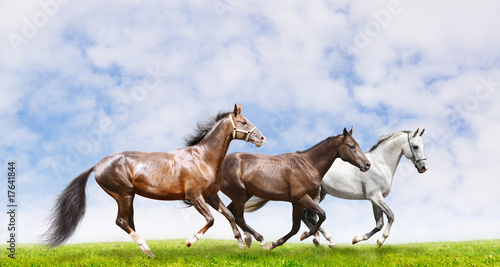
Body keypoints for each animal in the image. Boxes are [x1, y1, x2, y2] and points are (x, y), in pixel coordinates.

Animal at [44, 104, 266, 258]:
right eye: (243, 122)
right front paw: (189, 241)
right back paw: (148, 250)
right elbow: (211, 219)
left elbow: (228, 215)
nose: (262, 139)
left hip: (129, 197)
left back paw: (147, 251)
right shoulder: (195, 196)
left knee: (128, 222)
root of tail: (97, 165)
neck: (202, 158)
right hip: (123, 195)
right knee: (121, 221)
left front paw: (241, 244)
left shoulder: (211, 195)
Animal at [220, 128, 372, 251]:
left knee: (233, 213)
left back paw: (248, 239)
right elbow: (322, 214)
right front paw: (307, 235)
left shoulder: (297, 203)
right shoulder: (301, 198)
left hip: (244, 195)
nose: (367, 164)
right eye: (352, 146)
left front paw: (276, 244)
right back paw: (260, 240)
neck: (308, 166)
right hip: (239, 195)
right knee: (239, 217)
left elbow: (295, 228)